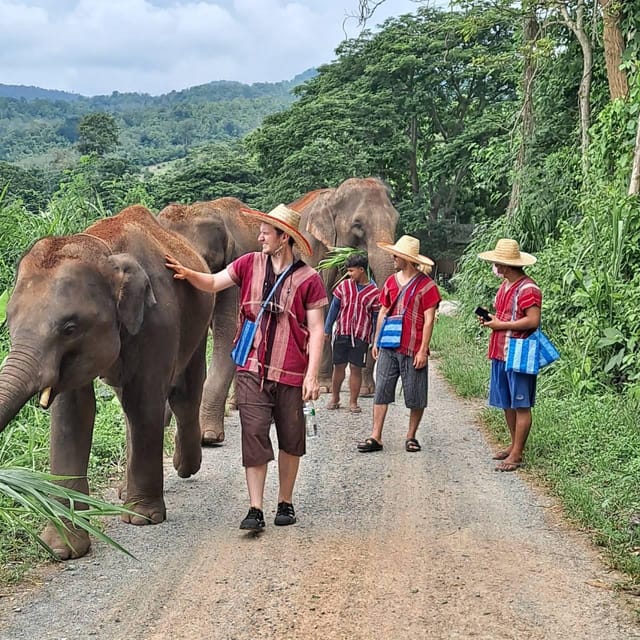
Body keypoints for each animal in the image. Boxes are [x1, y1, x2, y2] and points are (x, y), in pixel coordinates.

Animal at [0, 206, 215, 560]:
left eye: (70, 328)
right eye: (8, 321)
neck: (101, 247)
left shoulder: (158, 319)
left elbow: (144, 400)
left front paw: (143, 519)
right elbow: (72, 414)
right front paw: (62, 548)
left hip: (198, 320)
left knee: (183, 392)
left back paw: (185, 468)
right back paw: (125, 492)